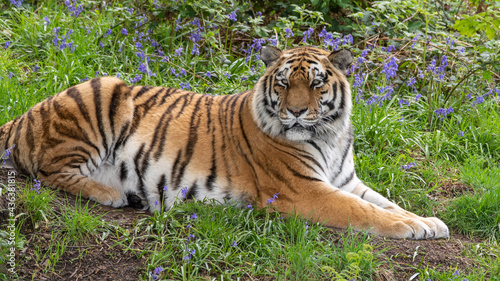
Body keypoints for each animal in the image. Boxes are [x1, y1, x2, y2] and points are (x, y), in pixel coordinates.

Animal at [0, 46, 450, 238]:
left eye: (316, 83)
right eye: (283, 84)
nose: (296, 112)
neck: (329, 134)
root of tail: (21, 117)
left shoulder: (346, 181)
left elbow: (385, 202)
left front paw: (428, 222)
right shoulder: (303, 189)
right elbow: (364, 212)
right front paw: (411, 228)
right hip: (102, 92)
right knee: (45, 170)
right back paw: (110, 193)